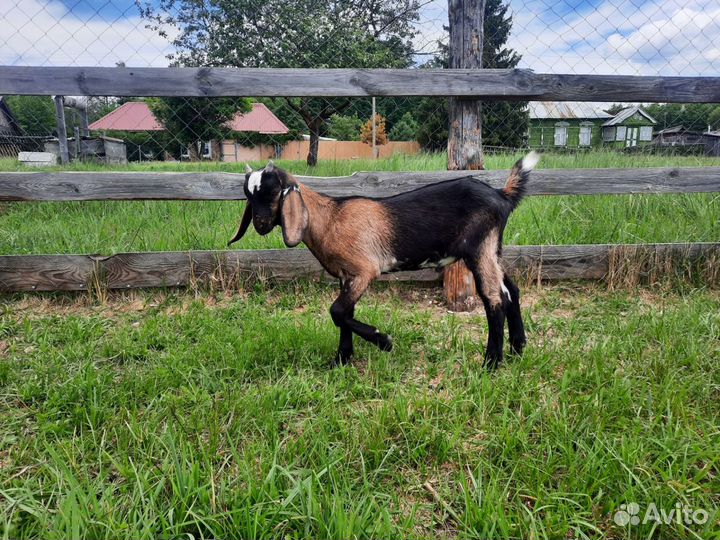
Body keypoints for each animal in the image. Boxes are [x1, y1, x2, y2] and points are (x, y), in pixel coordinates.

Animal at [228, 153, 539, 369]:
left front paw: (384, 341)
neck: (329, 218)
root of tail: (502, 195)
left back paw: (491, 363)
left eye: (272, 191)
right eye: (248, 195)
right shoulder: (346, 275)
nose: (260, 224)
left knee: (494, 299)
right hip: (492, 249)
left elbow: (337, 311)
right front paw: (341, 361)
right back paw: (517, 349)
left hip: (479, 248)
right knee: (510, 291)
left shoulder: (365, 269)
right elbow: (345, 314)